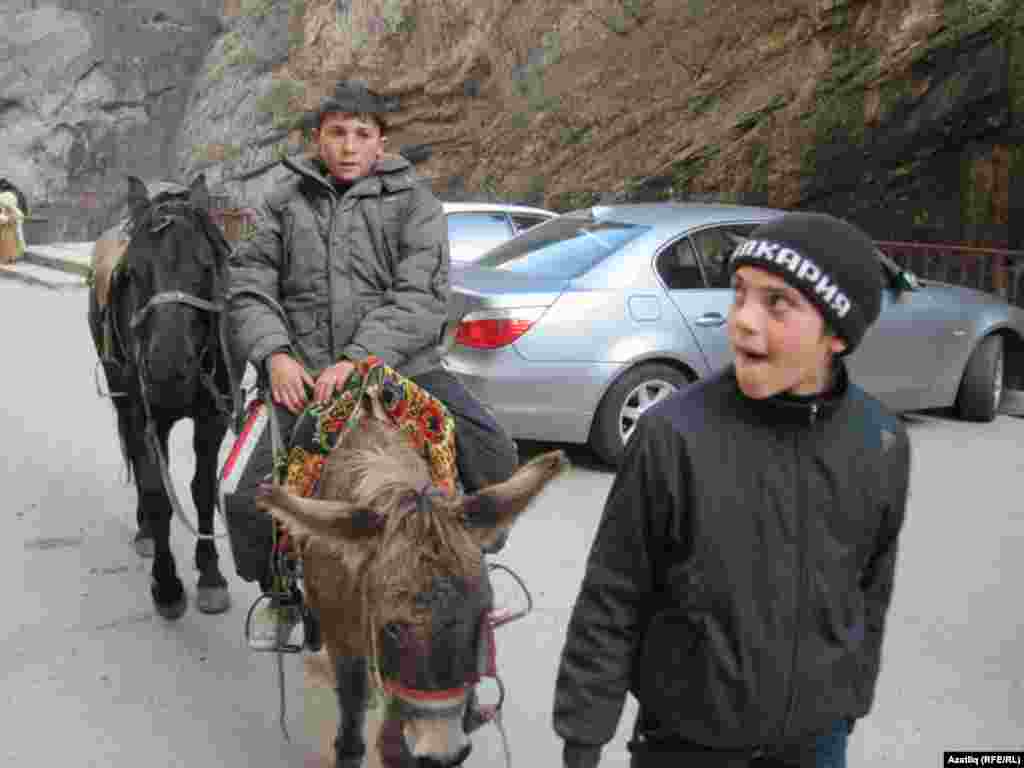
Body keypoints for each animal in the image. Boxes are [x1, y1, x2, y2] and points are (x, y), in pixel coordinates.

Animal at [87, 173, 234, 618]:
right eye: (132, 273)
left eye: (206, 266)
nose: (167, 370)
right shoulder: (145, 414)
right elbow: (156, 492)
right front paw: (167, 585)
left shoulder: (212, 417)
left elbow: (202, 489)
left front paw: (210, 574)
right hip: (124, 398)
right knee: (139, 462)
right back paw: (146, 532)